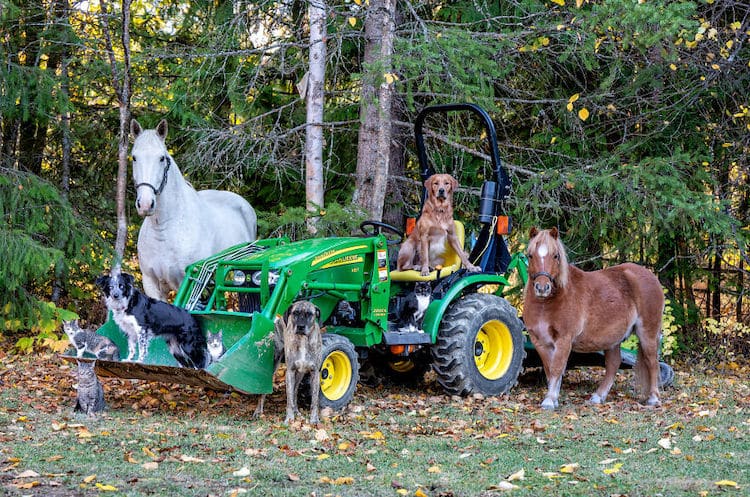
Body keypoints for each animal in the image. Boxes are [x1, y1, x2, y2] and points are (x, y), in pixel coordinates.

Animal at [131, 118, 258, 300]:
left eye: (162, 158)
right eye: (134, 157)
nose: (146, 204)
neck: (164, 228)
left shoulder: (187, 283)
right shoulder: (151, 284)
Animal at [524, 227, 664, 408]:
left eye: (556, 256)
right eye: (530, 255)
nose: (542, 288)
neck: (546, 304)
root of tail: (651, 276)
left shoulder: (564, 340)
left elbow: (556, 369)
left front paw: (549, 400)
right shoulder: (539, 342)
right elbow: (550, 370)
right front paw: (553, 399)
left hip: (648, 333)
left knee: (652, 361)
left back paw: (653, 398)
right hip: (613, 338)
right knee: (613, 364)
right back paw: (598, 396)